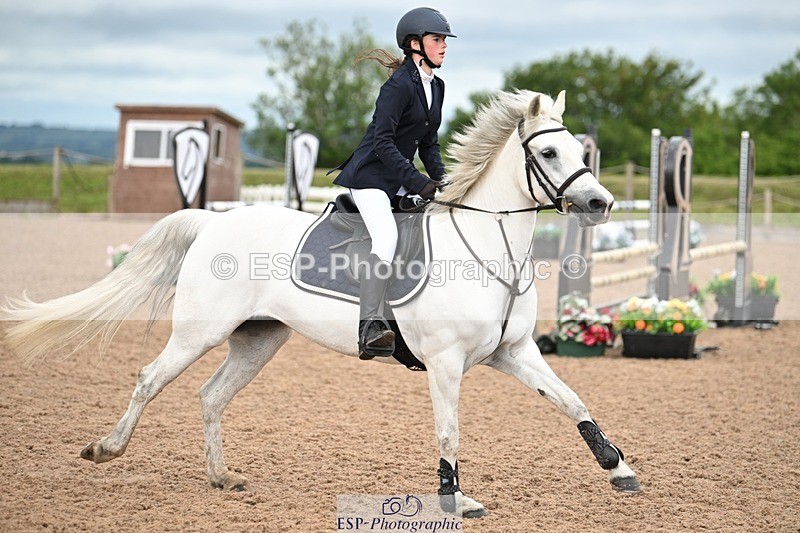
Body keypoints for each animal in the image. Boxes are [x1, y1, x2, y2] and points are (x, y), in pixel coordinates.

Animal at [3, 89, 640, 518]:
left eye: (578, 149)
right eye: (550, 153)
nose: (600, 203)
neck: (488, 246)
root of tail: (212, 220)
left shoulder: (514, 352)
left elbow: (573, 402)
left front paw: (620, 469)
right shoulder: (446, 364)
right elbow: (449, 433)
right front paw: (454, 500)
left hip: (259, 338)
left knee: (211, 394)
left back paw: (222, 478)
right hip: (199, 332)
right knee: (149, 378)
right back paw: (105, 449)